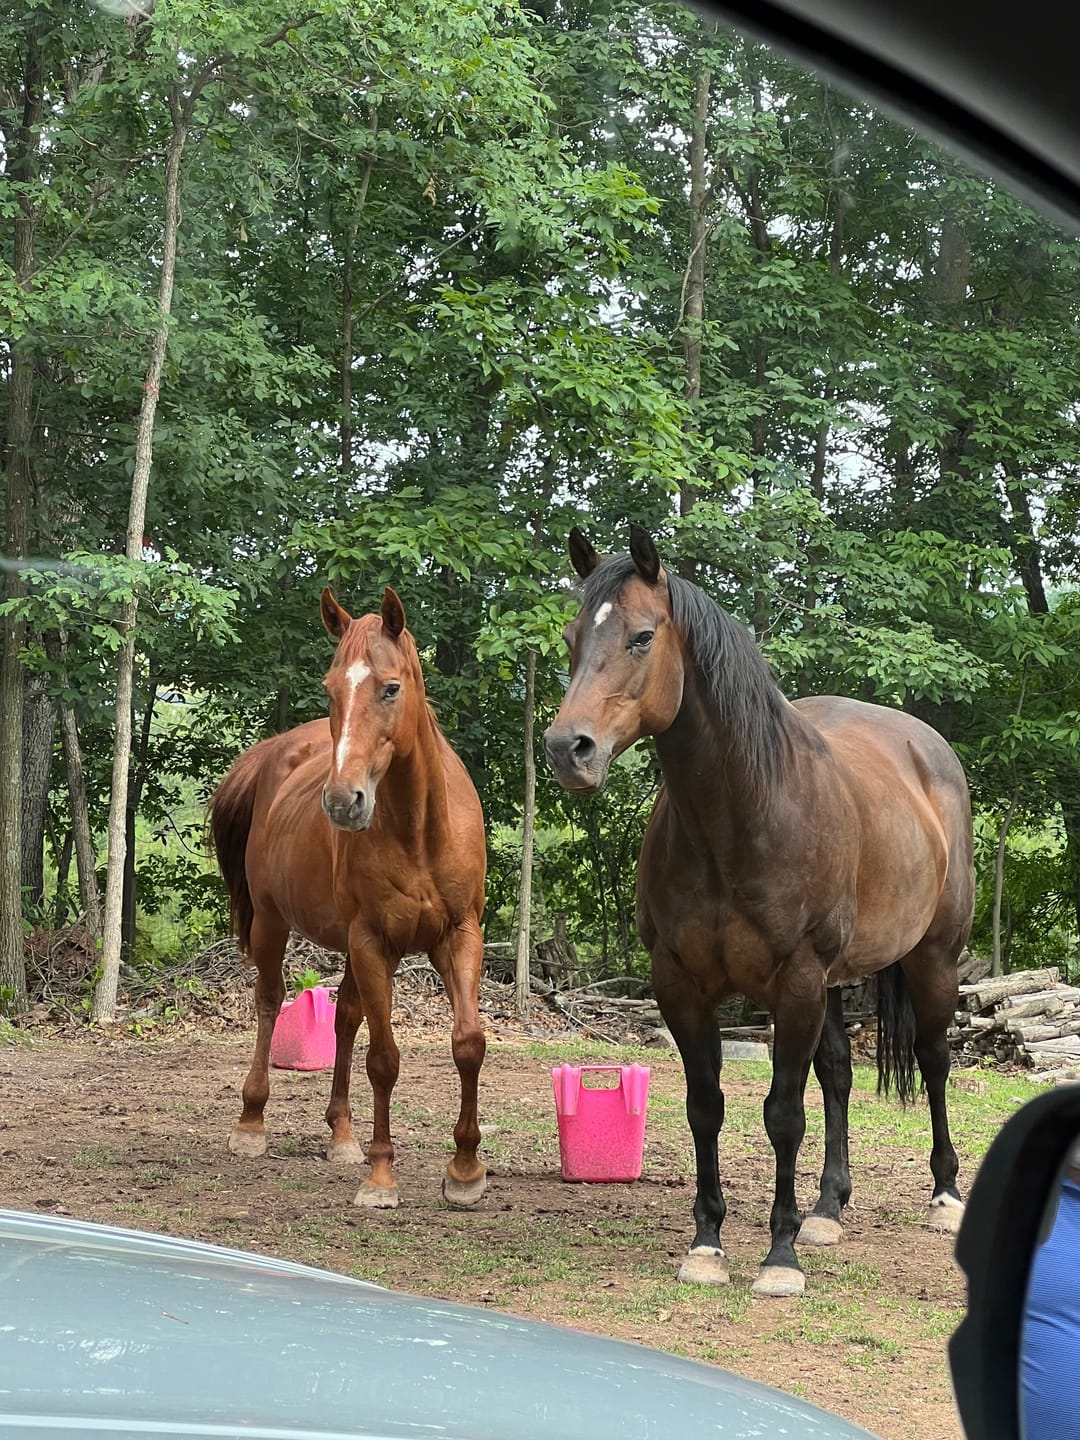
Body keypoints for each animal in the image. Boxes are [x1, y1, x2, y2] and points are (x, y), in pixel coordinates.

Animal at [208, 585, 488, 1210]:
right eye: (331, 688)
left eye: (390, 687)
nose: (342, 801)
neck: (418, 830)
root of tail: (275, 753)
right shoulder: (372, 941)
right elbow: (383, 1059)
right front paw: (381, 1178)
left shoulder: (459, 936)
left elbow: (467, 1044)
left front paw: (464, 1170)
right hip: (272, 925)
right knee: (269, 1001)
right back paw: (251, 1121)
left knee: (344, 1018)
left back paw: (342, 1132)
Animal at [544, 526, 974, 1297]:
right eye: (571, 638)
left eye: (642, 636)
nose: (569, 750)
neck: (740, 816)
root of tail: (927, 747)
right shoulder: (682, 983)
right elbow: (705, 1107)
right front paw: (708, 1244)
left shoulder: (795, 980)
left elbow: (782, 1115)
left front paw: (779, 1256)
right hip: (834, 984)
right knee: (839, 1074)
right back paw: (828, 1209)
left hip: (932, 961)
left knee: (933, 1060)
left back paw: (945, 1197)